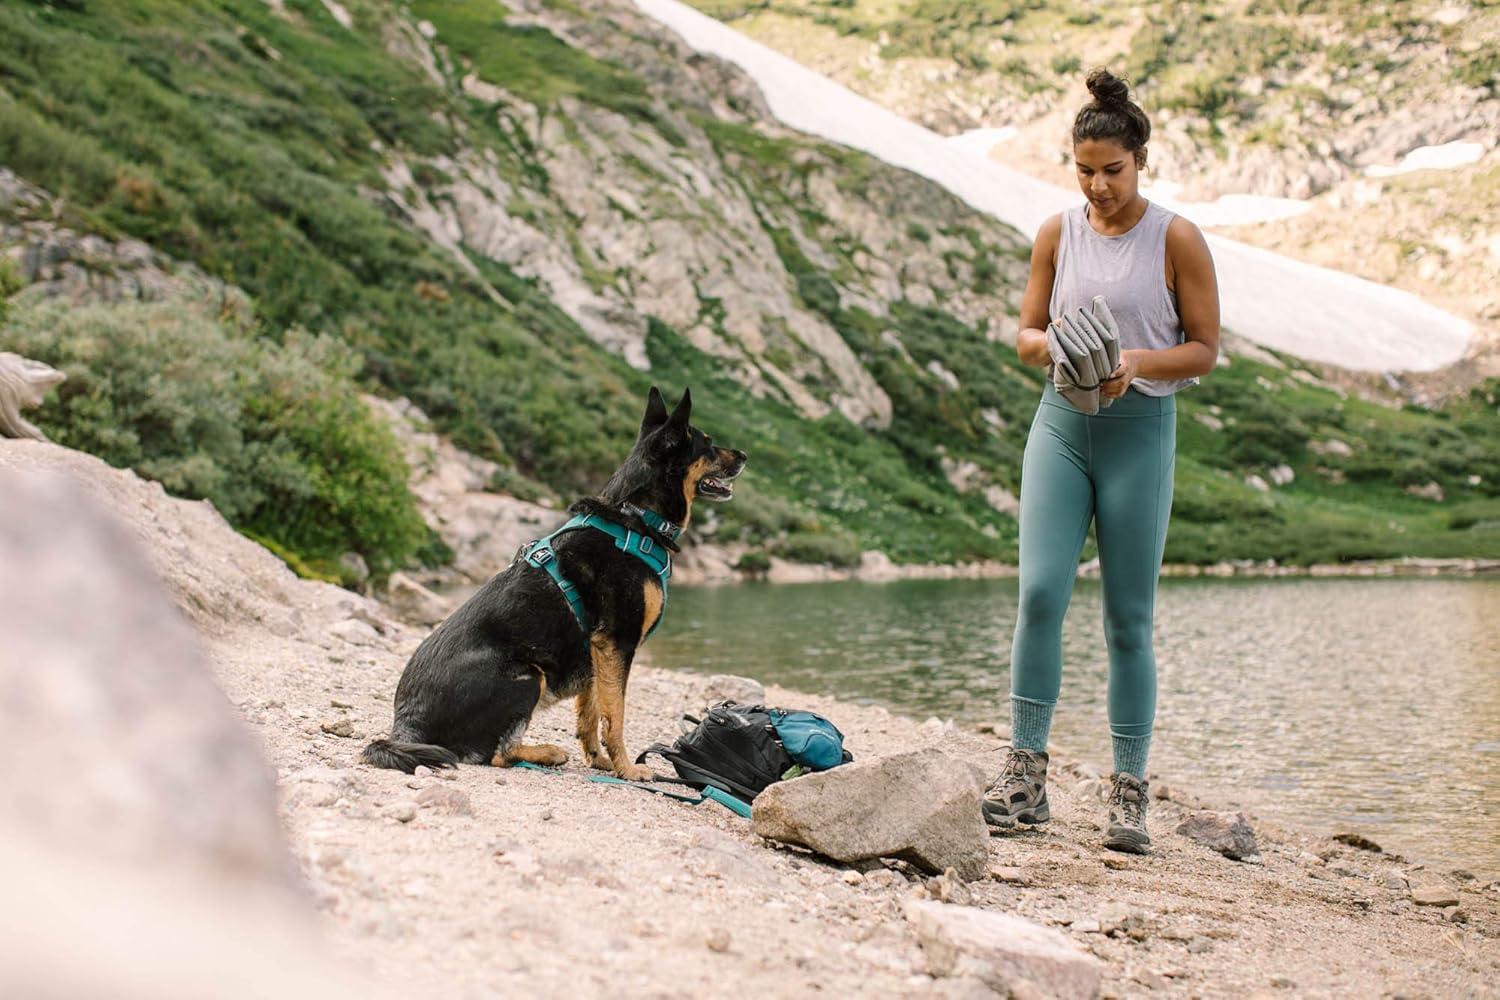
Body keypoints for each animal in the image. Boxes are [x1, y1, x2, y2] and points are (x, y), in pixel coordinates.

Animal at [358, 386, 744, 779]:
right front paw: (626, 768)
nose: (743, 455)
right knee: (497, 753)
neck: (635, 518)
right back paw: (545, 752)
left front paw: (600, 761)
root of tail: (406, 726)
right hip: (527, 676)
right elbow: (615, 716)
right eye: (708, 444)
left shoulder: (597, 652)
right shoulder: (617, 643)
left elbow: (591, 713)